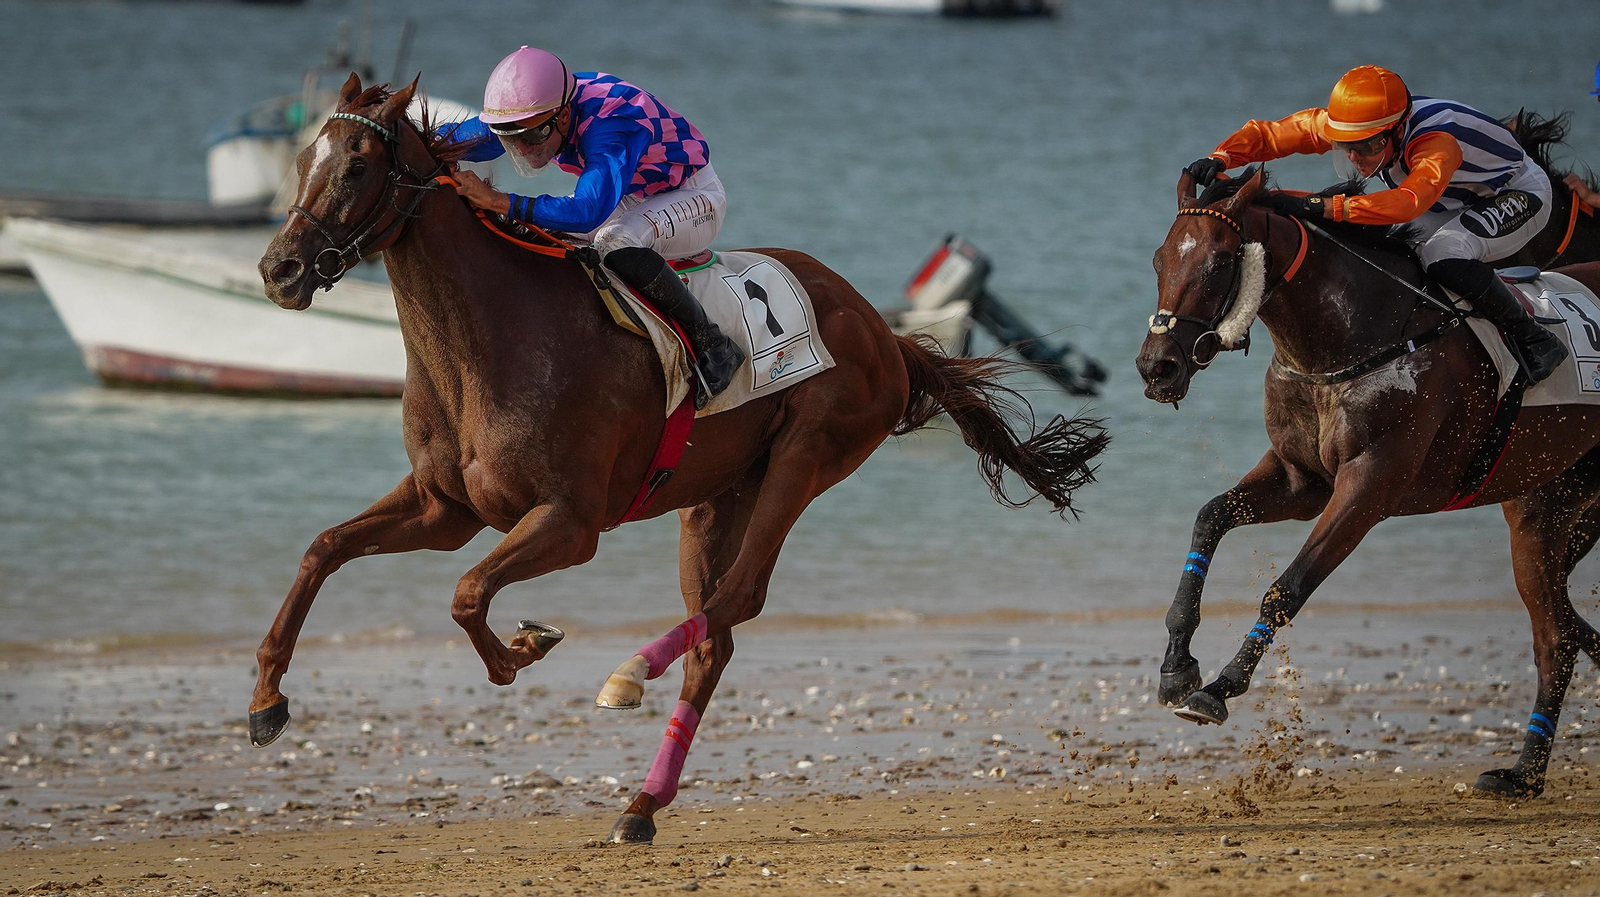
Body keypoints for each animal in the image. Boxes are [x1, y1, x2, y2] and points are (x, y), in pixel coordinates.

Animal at [250, 74, 1109, 843]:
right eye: (301, 161)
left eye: (357, 166)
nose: (278, 270)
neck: (494, 337)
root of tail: (880, 328)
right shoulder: (445, 508)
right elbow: (324, 548)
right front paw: (265, 700)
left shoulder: (571, 522)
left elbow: (466, 594)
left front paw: (522, 649)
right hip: (714, 498)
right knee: (714, 636)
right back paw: (640, 804)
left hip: (805, 458)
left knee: (734, 601)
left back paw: (629, 674)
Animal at [1136, 164, 1600, 798]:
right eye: (1160, 260)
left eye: (1217, 262)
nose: (1157, 367)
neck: (1354, 335)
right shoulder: (1301, 479)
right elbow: (1210, 517)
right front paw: (1177, 667)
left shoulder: (1370, 488)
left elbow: (1288, 587)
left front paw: (1219, 687)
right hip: (1556, 508)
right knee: (1563, 626)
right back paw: (1525, 770)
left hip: (1537, 517)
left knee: (1554, 638)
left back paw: (1523, 771)